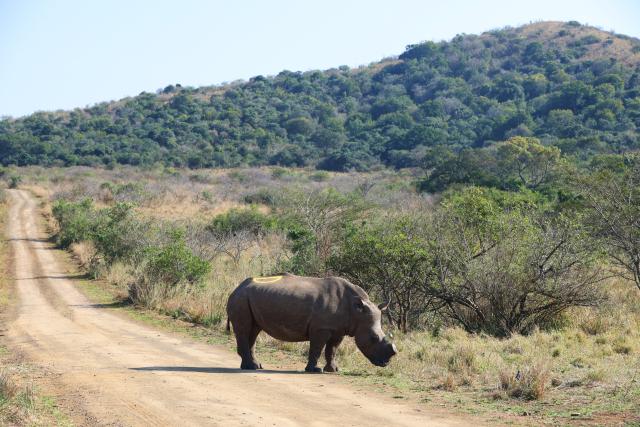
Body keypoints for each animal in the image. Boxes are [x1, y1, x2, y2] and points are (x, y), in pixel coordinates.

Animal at [226, 273, 397, 372]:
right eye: (373, 338)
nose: (386, 363)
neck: (356, 311)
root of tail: (236, 288)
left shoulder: (338, 330)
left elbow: (332, 350)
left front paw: (334, 370)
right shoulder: (321, 328)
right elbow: (317, 348)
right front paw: (315, 370)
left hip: (248, 299)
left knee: (254, 330)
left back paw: (256, 366)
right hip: (241, 298)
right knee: (245, 330)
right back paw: (250, 367)